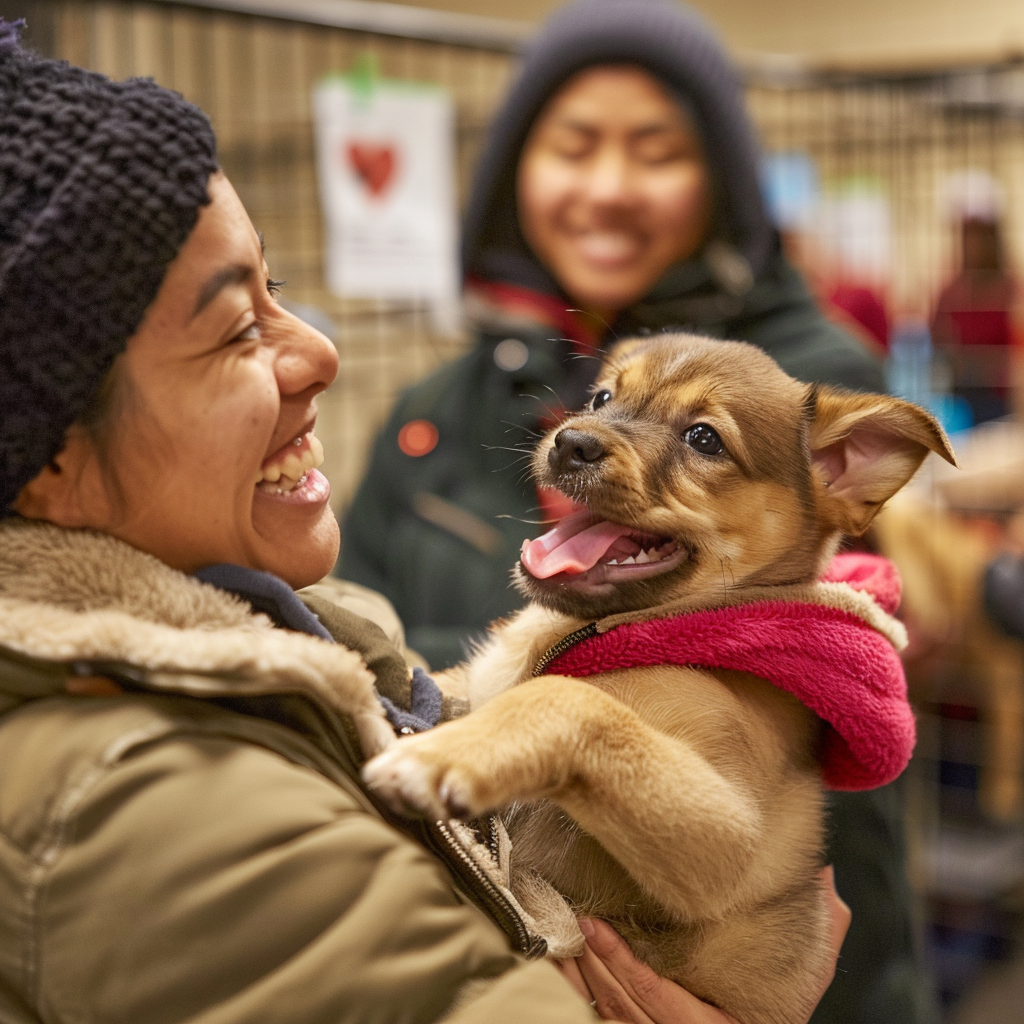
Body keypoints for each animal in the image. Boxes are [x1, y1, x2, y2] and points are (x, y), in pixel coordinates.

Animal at [364, 335, 954, 1024]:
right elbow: (450, 682)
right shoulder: (475, 683)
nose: (570, 442)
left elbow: (571, 699)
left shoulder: (730, 838)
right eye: (602, 398)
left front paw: (437, 756)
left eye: (704, 439)